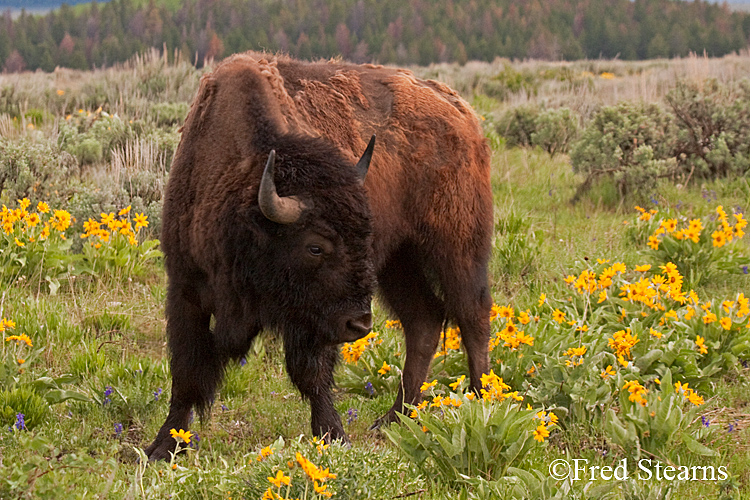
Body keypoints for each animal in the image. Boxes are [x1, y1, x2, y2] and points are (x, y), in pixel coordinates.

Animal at [147, 51, 500, 460]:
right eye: (315, 245)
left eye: (364, 236)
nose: (359, 324)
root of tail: (461, 111)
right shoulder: (186, 289)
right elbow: (186, 373)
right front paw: (164, 445)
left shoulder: (312, 320)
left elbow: (312, 375)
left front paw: (332, 436)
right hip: (400, 262)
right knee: (424, 319)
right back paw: (394, 419)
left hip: (457, 247)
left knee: (473, 315)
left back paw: (480, 401)